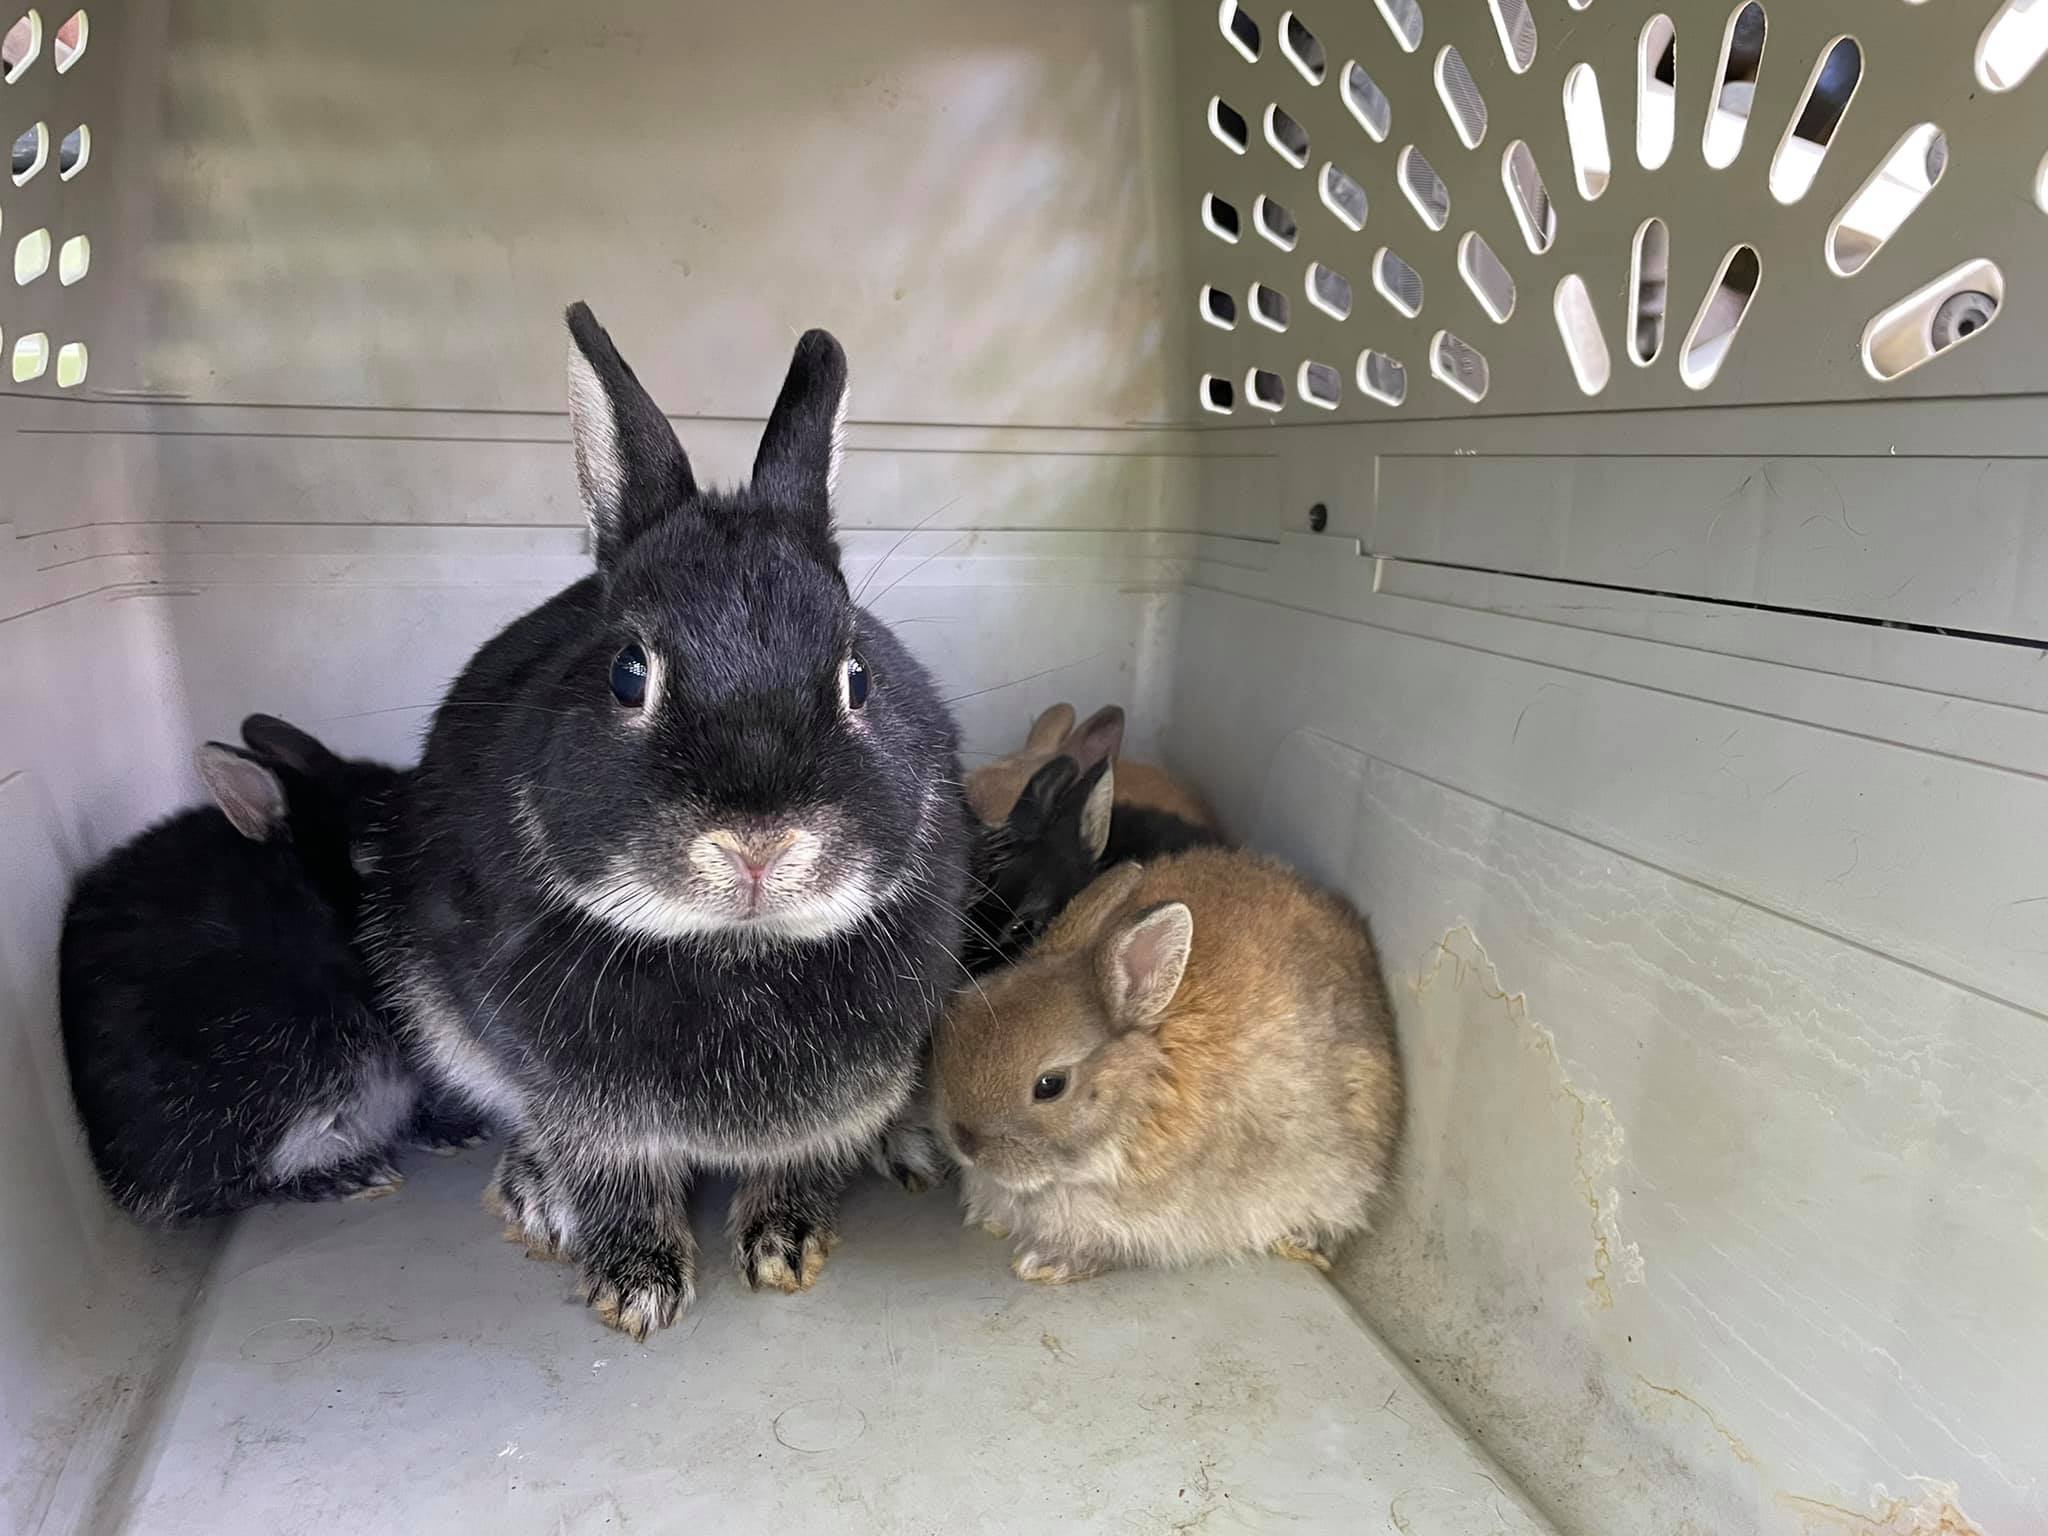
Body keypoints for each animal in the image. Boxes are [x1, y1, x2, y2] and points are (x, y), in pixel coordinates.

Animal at [372, 307, 970, 1343]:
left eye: (859, 676)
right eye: (627, 673)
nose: (759, 846)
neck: (735, 952)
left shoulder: (845, 1098)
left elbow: (802, 1160)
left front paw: (784, 1248)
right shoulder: (584, 1105)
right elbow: (612, 1174)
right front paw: (637, 1287)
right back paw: (535, 1197)